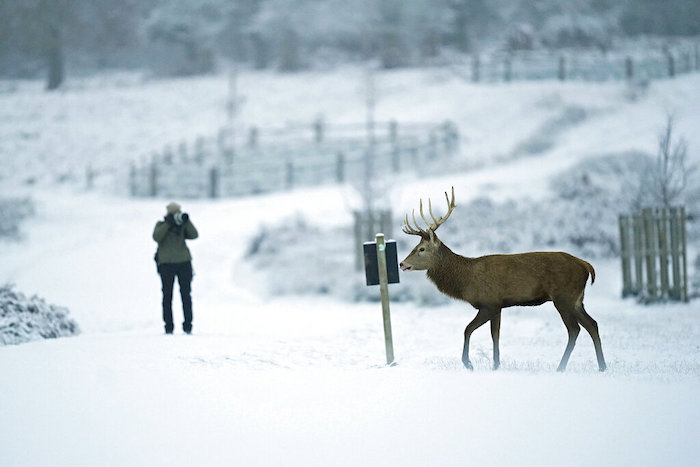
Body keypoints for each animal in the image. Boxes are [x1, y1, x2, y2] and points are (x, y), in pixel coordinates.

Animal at [399, 187, 607, 372]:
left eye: (421, 249)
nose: (402, 263)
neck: (466, 280)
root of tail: (586, 265)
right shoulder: (498, 306)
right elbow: (495, 335)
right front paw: (496, 365)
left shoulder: (488, 303)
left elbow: (467, 329)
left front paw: (469, 364)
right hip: (577, 299)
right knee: (592, 324)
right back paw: (602, 366)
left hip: (563, 297)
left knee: (574, 329)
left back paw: (561, 367)